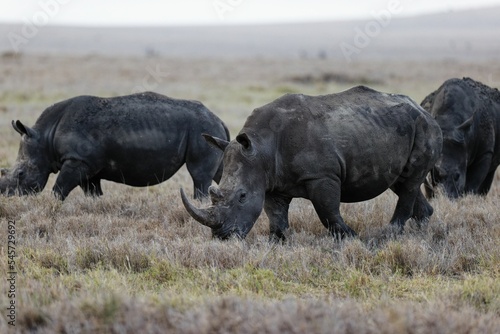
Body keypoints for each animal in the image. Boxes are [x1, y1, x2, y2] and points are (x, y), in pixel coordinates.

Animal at [0, 91, 229, 200]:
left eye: (20, 174)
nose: (7, 196)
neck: (45, 138)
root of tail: (219, 119)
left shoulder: (77, 160)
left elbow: (59, 190)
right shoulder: (87, 165)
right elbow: (93, 193)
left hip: (201, 130)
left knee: (199, 175)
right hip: (210, 133)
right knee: (220, 171)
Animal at [181, 86, 442, 240]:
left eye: (242, 196)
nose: (222, 237)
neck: (261, 147)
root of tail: (424, 110)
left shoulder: (322, 175)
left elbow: (327, 210)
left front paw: (350, 237)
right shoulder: (271, 179)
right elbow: (275, 214)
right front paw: (278, 240)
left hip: (424, 128)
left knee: (408, 183)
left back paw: (389, 235)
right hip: (398, 128)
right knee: (401, 182)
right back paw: (420, 232)